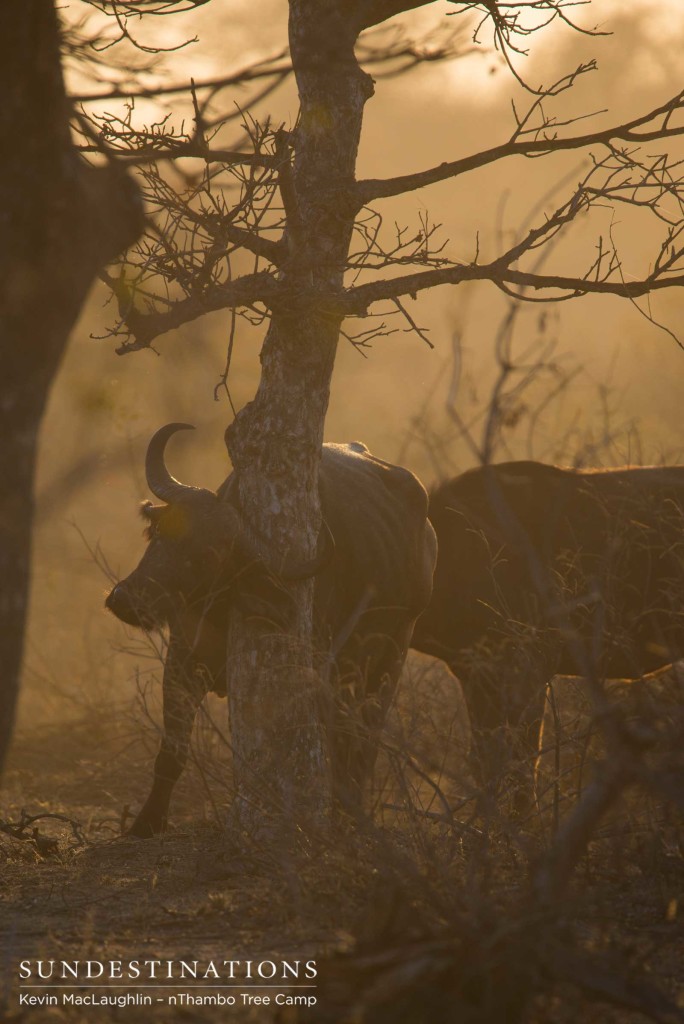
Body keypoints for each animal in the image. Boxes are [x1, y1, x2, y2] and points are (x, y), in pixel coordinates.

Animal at [107, 421, 438, 831]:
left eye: (206, 555)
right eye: (160, 533)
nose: (125, 599)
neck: (223, 605)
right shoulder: (182, 661)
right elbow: (172, 750)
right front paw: (147, 822)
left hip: (390, 657)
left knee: (362, 742)